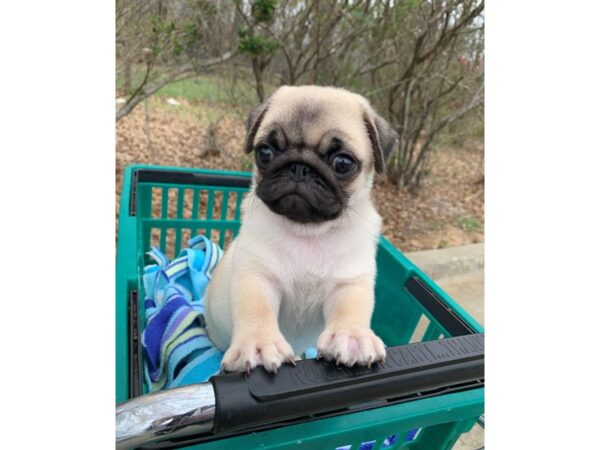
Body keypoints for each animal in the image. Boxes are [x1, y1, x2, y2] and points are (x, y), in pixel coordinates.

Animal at [206, 84, 398, 372]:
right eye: (265, 153)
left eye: (343, 163)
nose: (299, 167)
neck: (307, 231)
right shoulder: (256, 277)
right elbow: (256, 309)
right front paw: (259, 345)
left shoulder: (350, 283)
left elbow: (350, 308)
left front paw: (352, 337)